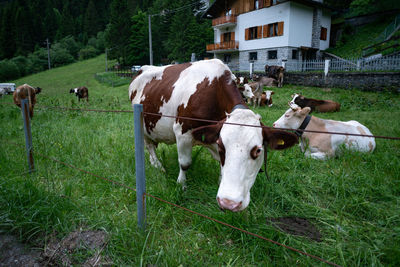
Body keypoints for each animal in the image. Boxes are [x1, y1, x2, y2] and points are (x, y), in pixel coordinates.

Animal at [130, 59, 298, 213]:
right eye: (223, 147)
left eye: (258, 150)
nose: (230, 203)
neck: (214, 91)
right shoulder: (182, 132)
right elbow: (185, 163)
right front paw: (181, 184)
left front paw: (220, 180)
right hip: (142, 125)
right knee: (149, 145)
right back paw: (158, 165)